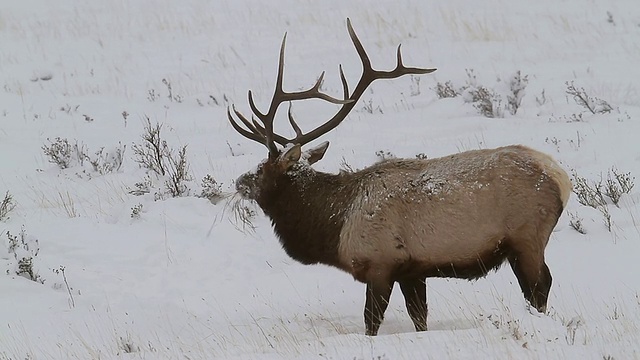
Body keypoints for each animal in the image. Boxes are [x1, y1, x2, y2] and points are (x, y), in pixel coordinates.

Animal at [226, 19, 568, 334]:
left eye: (262, 169)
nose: (239, 181)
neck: (335, 224)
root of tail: (560, 177)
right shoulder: (413, 271)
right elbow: (420, 319)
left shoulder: (380, 263)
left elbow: (371, 322)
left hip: (527, 237)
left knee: (540, 286)